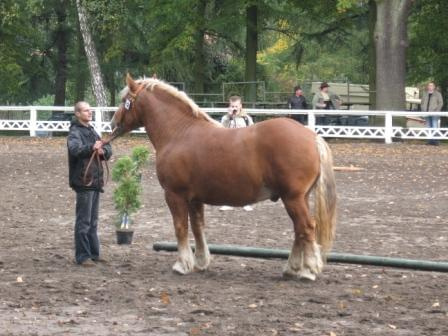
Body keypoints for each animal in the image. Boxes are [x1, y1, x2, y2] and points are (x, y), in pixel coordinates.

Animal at [111, 74, 336, 280]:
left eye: (125, 100)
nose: (113, 123)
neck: (179, 132)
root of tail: (312, 136)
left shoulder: (175, 195)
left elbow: (181, 227)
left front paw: (182, 265)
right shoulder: (194, 199)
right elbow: (198, 227)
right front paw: (201, 262)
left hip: (293, 198)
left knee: (306, 227)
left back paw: (308, 271)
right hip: (299, 198)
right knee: (300, 230)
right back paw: (292, 268)